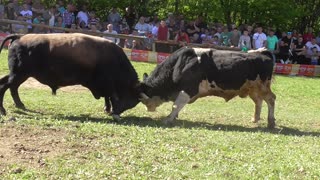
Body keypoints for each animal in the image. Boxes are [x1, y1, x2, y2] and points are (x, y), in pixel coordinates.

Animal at [0, 33, 142, 119]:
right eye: (132, 100)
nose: (117, 113)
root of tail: (19, 37)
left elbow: (107, 96)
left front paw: (107, 109)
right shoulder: (108, 84)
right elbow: (110, 96)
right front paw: (109, 110)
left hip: (18, 75)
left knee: (11, 86)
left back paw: (20, 105)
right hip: (19, 74)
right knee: (5, 86)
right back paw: (3, 110)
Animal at [141, 46, 276, 128]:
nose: (147, 108)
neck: (181, 64)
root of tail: (263, 53)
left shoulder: (188, 89)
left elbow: (176, 105)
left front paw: (168, 119)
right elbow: (176, 105)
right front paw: (174, 117)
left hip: (263, 87)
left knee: (271, 99)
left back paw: (270, 122)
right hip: (253, 89)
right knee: (258, 101)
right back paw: (255, 119)